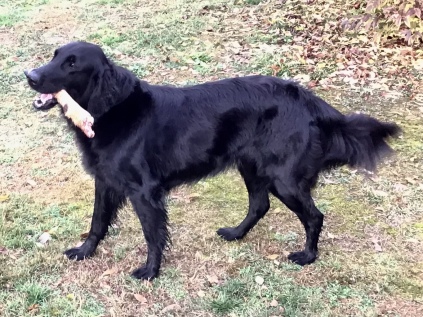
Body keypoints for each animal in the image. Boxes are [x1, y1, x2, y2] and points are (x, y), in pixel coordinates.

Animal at [24, 41, 402, 278]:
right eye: (55, 55)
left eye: (72, 64)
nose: (30, 75)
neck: (109, 109)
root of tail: (310, 100)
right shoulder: (105, 181)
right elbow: (97, 223)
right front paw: (84, 251)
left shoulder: (144, 192)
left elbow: (152, 235)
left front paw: (150, 271)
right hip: (252, 166)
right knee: (260, 205)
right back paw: (236, 233)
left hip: (284, 178)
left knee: (314, 216)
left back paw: (307, 256)